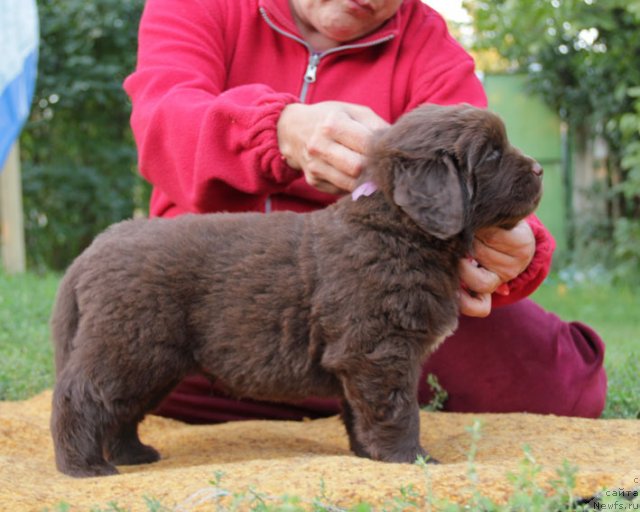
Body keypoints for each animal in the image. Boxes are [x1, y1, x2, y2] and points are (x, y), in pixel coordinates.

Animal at [50, 103, 544, 476]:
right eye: (491, 155)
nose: (540, 168)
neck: (400, 231)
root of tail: (92, 250)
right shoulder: (378, 352)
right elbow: (397, 409)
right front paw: (410, 460)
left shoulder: (356, 359)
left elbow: (359, 412)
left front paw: (367, 455)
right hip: (128, 346)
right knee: (81, 396)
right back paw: (84, 467)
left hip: (155, 363)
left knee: (122, 409)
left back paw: (132, 454)